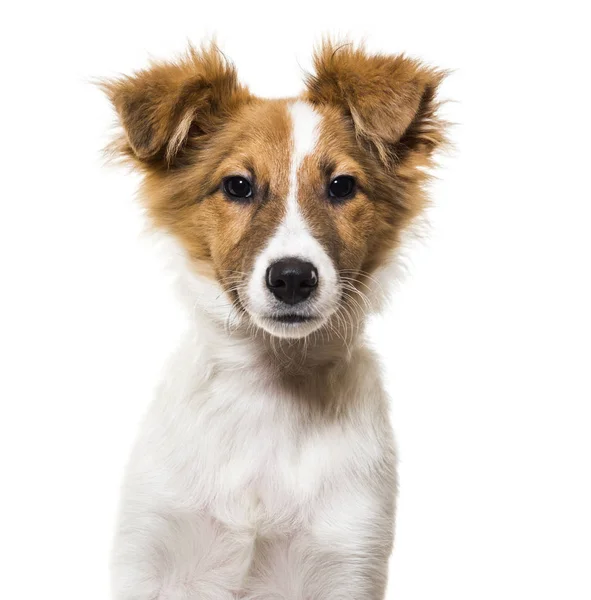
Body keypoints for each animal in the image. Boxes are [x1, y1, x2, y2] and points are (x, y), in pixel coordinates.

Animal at [104, 41, 446, 600]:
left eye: (342, 186)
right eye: (238, 186)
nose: (291, 278)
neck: (271, 385)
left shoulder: (348, 556)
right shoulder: (150, 555)